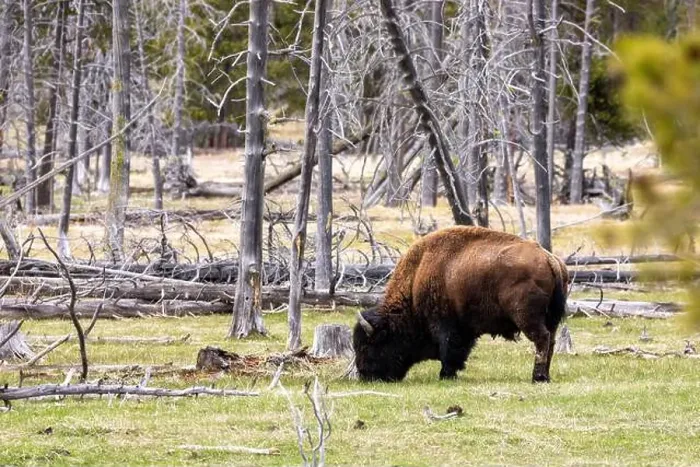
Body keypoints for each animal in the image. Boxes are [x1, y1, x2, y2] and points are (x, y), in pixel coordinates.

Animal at [353, 226, 569, 383]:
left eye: (368, 345)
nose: (365, 376)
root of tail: (549, 259)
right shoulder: (464, 329)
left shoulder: (445, 325)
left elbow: (448, 349)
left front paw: (445, 375)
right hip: (552, 318)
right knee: (551, 341)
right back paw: (545, 375)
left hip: (526, 317)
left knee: (541, 339)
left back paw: (537, 377)